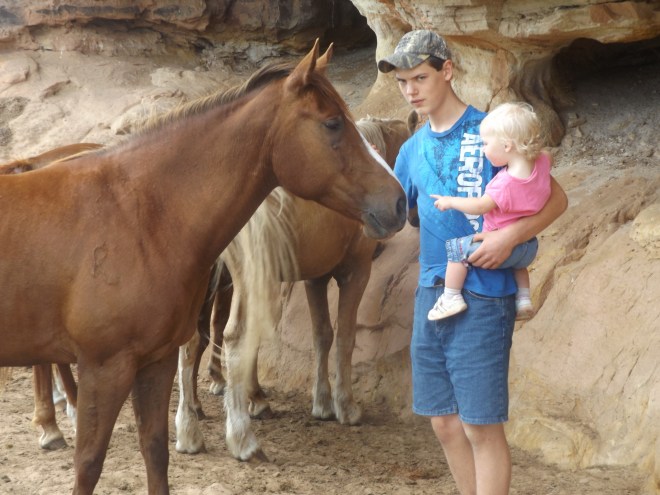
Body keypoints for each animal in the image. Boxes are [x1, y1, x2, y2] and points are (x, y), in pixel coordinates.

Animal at [174, 114, 416, 460]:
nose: (402, 209)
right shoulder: (355, 272)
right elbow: (345, 337)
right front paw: (345, 406)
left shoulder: (315, 278)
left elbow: (322, 335)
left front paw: (322, 403)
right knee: (234, 336)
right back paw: (240, 435)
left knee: (194, 340)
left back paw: (190, 430)